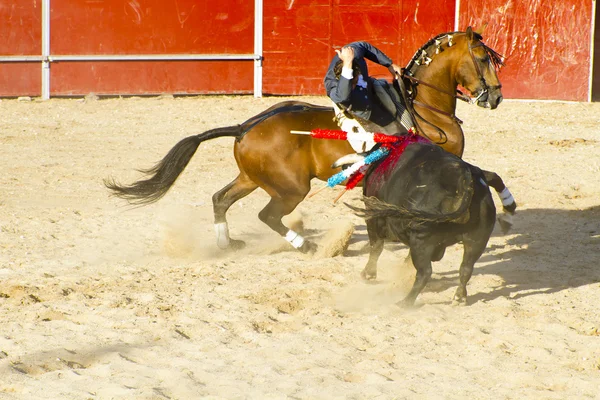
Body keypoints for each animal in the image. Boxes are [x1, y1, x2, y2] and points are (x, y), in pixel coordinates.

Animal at [105, 26, 512, 253]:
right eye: (482, 58)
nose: (495, 96)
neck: (423, 106)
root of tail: (245, 126)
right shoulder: (448, 165)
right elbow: (486, 175)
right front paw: (508, 208)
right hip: (290, 188)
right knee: (267, 215)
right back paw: (306, 245)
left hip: (253, 178)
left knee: (221, 199)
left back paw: (226, 243)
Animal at [350, 141, 494, 306]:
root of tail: (462, 178)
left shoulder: (373, 215)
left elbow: (376, 246)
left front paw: (368, 274)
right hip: (477, 240)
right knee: (466, 268)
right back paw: (459, 298)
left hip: (421, 241)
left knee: (425, 273)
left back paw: (405, 302)